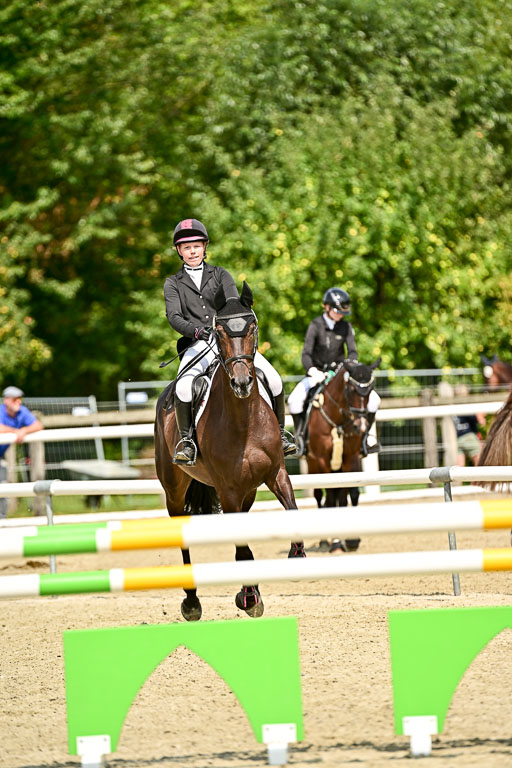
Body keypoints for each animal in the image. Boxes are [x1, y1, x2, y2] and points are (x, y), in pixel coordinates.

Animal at [154, 281, 305, 622]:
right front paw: (249, 598)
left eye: (253, 327)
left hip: (248, 491)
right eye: (220, 331)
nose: (242, 382)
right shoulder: (227, 489)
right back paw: (193, 602)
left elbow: (291, 511)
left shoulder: (275, 473)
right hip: (175, 490)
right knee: (183, 536)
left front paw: (296, 556)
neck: (243, 420)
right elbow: (242, 547)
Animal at [304, 359, 380, 553]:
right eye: (351, 390)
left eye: (370, 390)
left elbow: (345, 494)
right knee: (318, 495)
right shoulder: (322, 461)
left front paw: (350, 540)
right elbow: (331, 498)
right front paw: (336, 542)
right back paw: (324, 540)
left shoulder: (350, 459)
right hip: (313, 465)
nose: (360, 426)